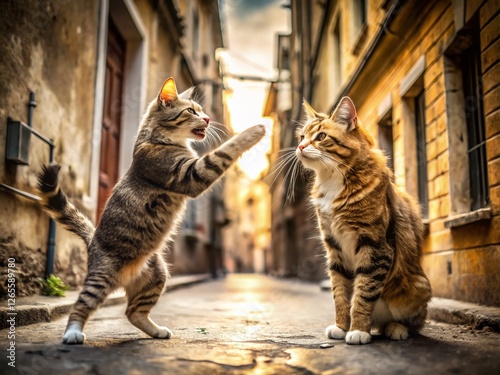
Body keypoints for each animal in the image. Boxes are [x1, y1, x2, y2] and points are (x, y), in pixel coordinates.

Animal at [38, 78, 266, 346]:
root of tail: (92, 240)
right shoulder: (190, 174)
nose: (208, 119)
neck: (158, 140)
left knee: (133, 312)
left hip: (157, 275)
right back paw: (72, 333)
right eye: (192, 111)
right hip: (101, 278)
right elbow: (223, 151)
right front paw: (254, 131)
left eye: (202, 111)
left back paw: (157, 331)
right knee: (81, 305)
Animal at [294, 97, 432, 346]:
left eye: (321, 136)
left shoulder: (375, 245)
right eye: (301, 137)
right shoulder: (334, 247)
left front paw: (358, 329)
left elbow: (363, 294)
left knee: (415, 323)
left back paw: (395, 328)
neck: (333, 179)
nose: (300, 147)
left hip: (417, 287)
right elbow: (340, 294)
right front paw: (342, 326)